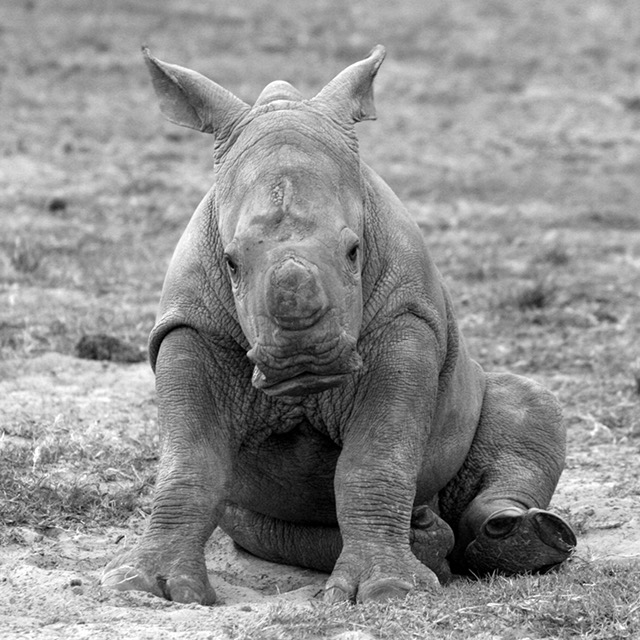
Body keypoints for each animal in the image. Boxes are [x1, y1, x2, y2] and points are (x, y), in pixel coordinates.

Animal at [101, 45, 576, 604]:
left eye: (354, 251)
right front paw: (146, 587)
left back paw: (517, 534)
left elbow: (375, 461)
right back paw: (429, 536)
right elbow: (189, 463)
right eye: (231, 263)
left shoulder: (405, 320)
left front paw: (390, 591)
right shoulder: (190, 328)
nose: (304, 362)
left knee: (530, 403)